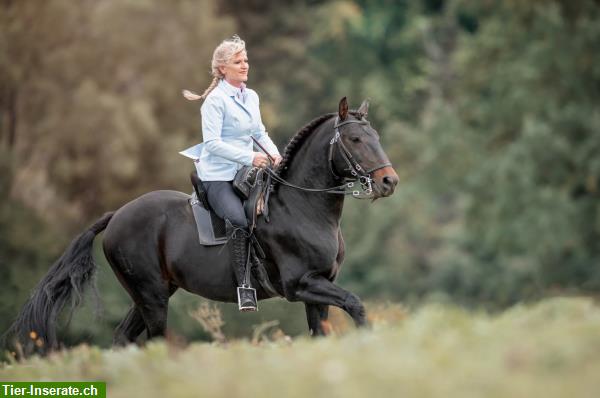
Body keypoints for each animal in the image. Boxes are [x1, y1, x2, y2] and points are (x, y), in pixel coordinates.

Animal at [5, 97, 398, 354]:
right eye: (355, 139)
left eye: (376, 137)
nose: (389, 181)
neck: (303, 208)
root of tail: (116, 215)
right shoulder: (301, 284)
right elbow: (357, 305)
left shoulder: (318, 288)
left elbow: (323, 332)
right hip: (152, 297)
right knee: (155, 343)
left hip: (153, 293)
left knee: (122, 340)